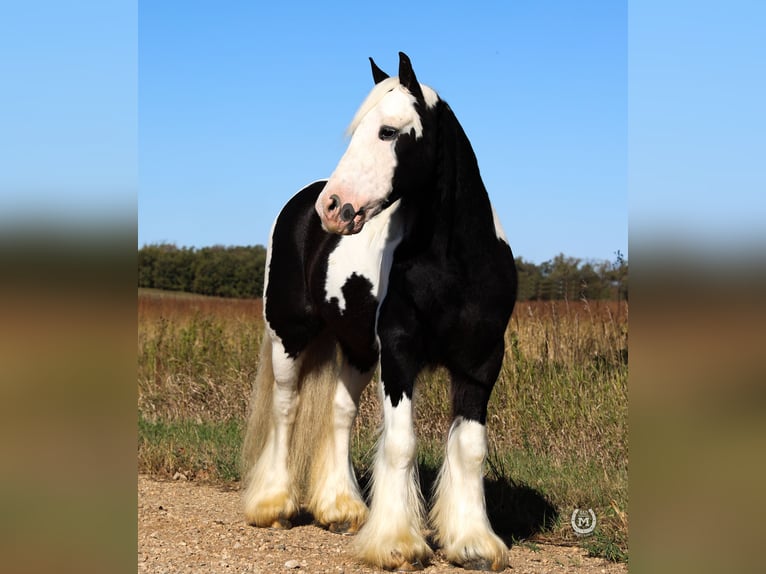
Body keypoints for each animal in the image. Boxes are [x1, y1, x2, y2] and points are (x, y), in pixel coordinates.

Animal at [243, 53, 520, 572]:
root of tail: (299, 204)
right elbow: (401, 443)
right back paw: (274, 506)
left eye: (388, 132)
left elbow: (470, 449)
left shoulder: (480, 364)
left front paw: (473, 542)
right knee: (286, 410)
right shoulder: (398, 356)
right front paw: (396, 544)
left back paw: (340, 509)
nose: (333, 207)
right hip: (289, 336)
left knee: (339, 413)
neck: (451, 266)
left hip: (355, 351)